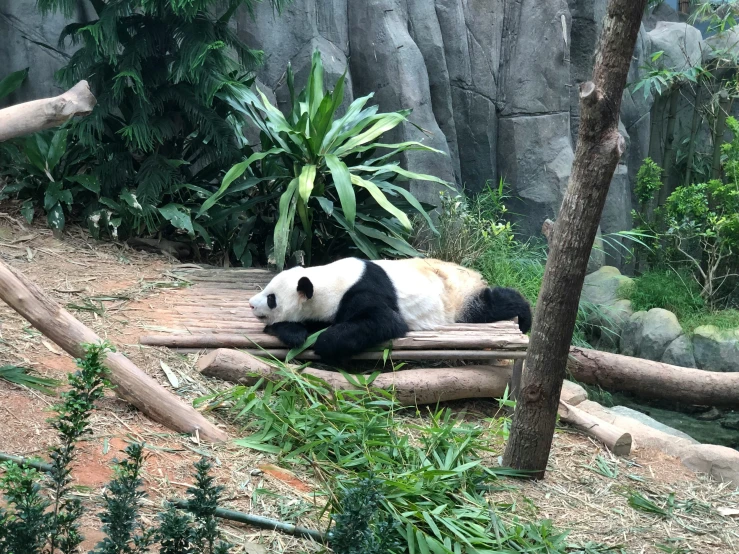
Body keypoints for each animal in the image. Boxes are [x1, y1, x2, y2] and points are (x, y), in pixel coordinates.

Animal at [249, 256, 532, 360]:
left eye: (271, 298)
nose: (251, 304)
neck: (328, 281)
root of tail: (472, 273)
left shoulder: (363, 291)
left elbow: (385, 321)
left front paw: (325, 344)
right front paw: (293, 332)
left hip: (458, 296)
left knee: (490, 305)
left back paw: (525, 316)